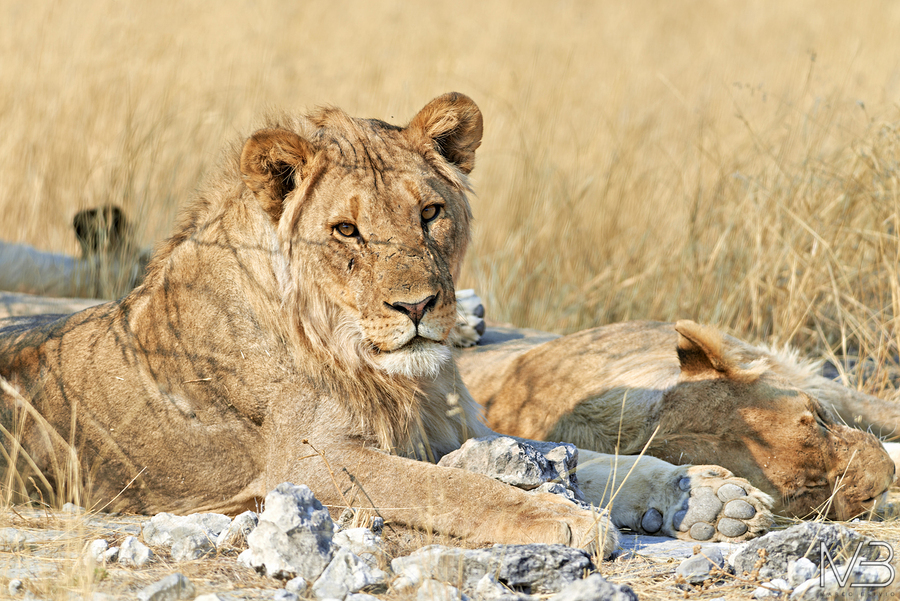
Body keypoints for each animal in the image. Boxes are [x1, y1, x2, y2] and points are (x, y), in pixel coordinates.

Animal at [0, 93, 773, 554]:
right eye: (346, 229)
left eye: (429, 213)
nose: (418, 307)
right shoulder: (311, 461)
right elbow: (455, 487)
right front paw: (567, 518)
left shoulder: (459, 428)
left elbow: (602, 459)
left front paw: (712, 493)